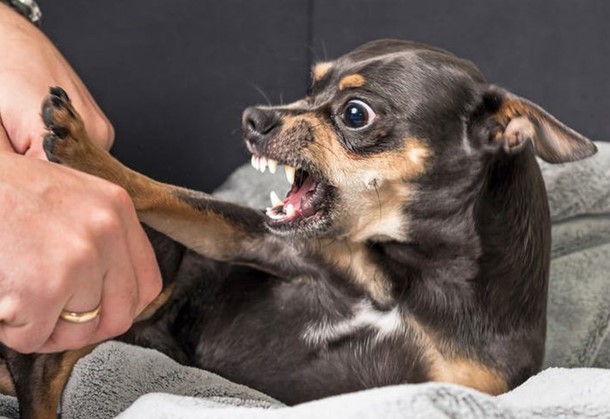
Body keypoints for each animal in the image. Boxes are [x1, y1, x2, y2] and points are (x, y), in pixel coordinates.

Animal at [0, 38, 596, 416]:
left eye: (355, 113)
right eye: (310, 88)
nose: (253, 118)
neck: (408, 277)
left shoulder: (462, 386)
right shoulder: (259, 240)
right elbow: (164, 192)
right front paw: (86, 151)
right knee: (43, 374)